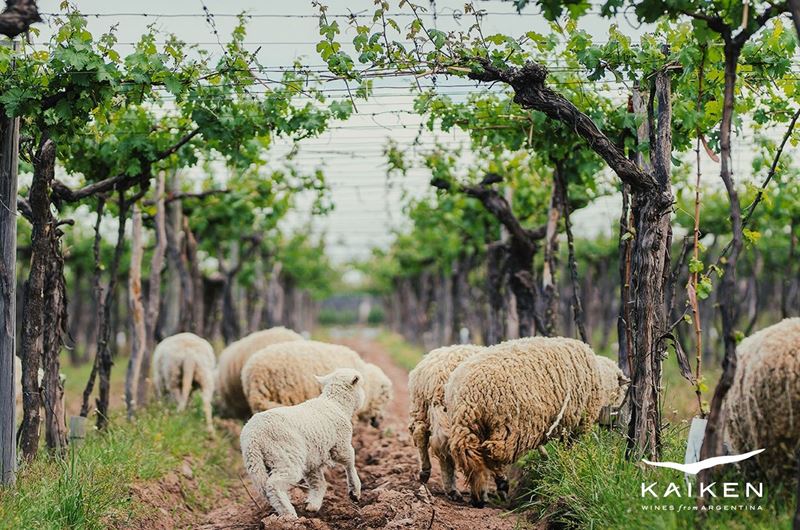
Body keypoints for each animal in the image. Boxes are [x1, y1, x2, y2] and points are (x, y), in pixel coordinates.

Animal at [238, 368, 362, 516]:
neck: (336, 404)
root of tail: (253, 437)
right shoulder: (341, 444)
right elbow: (350, 462)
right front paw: (355, 491)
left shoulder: (312, 458)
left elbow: (317, 482)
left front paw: (313, 505)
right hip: (286, 455)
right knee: (274, 484)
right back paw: (289, 515)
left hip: (255, 463)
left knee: (264, 488)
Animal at [444, 336, 612, 506]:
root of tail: (468, 393)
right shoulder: (580, 423)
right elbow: (570, 446)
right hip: (508, 426)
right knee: (492, 453)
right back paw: (498, 486)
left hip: (470, 425)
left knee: (471, 454)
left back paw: (480, 494)